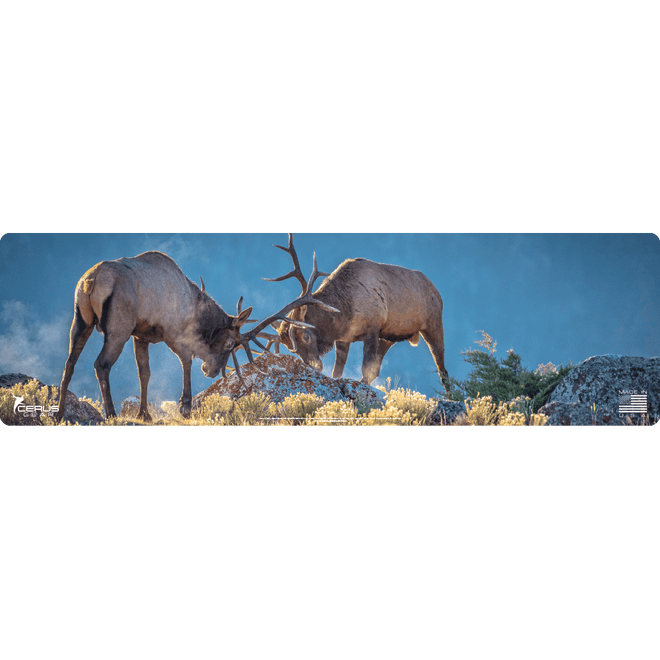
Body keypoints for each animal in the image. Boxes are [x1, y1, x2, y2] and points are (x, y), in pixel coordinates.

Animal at [55, 250, 338, 422]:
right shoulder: (172, 332)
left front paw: (144, 414)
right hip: (118, 327)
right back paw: (112, 414)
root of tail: (90, 281)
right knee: (100, 364)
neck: (196, 308)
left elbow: (144, 373)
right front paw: (186, 407)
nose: (211, 371)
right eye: (230, 343)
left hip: (81, 320)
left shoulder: (141, 335)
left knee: (69, 362)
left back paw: (59, 412)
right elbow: (186, 360)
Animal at [265, 234, 449, 392]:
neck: (343, 313)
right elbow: (338, 372)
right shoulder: (344, 339)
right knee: (378, 369)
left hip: (433, 325)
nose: (314, 366)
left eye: (306, 336)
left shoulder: (373, 329)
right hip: (388, 338)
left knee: (443, 370)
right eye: (289, 348)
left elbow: (366, 368)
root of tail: (437, 292)